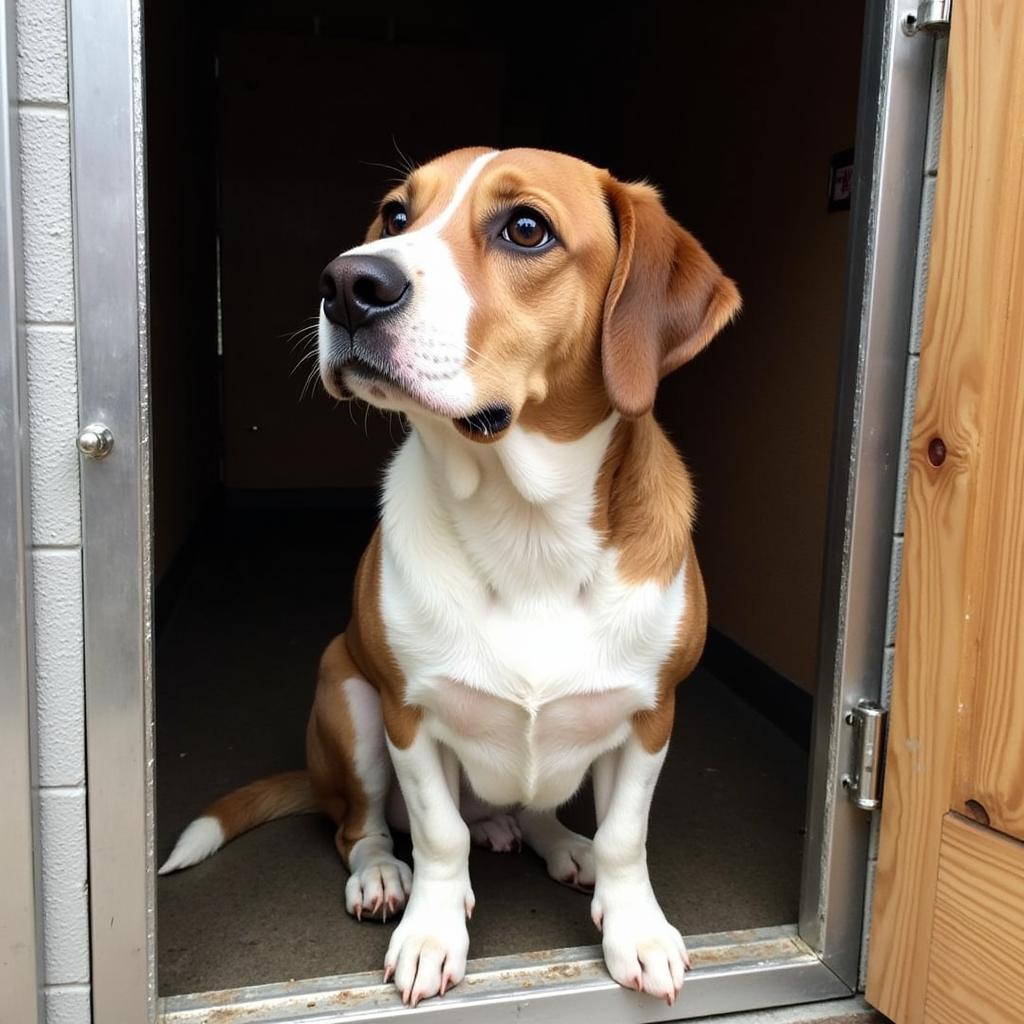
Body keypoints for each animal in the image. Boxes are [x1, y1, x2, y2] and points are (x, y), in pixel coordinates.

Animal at [157, 146, 737, 1007]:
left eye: (526, 228)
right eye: (397, 214)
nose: (346, 284)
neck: (528, 531)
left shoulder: (651, 713)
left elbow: (626, 838)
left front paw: (635, 928)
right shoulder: (406, 711)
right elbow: (437, 833)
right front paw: (431, 932)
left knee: (530, 812)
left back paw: (559, 842)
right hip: (345, 693)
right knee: (360, 826)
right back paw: (381, 875)